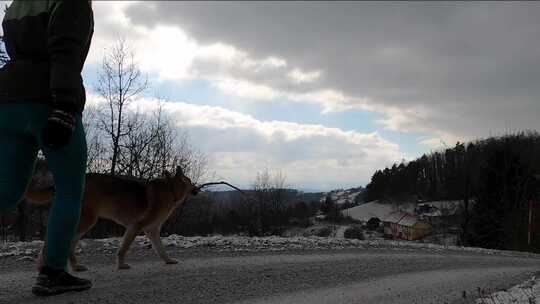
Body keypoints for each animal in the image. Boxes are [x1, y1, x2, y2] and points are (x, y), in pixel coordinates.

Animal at [25, 167, 198, 272]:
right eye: (190, 182)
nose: (197, 188)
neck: (171, 189)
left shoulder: (151, 230)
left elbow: (161, 250)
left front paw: (168, 260)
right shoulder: (136, 227)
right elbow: (123, 249)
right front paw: (121, 265)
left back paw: (74, 266)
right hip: (87, 221)